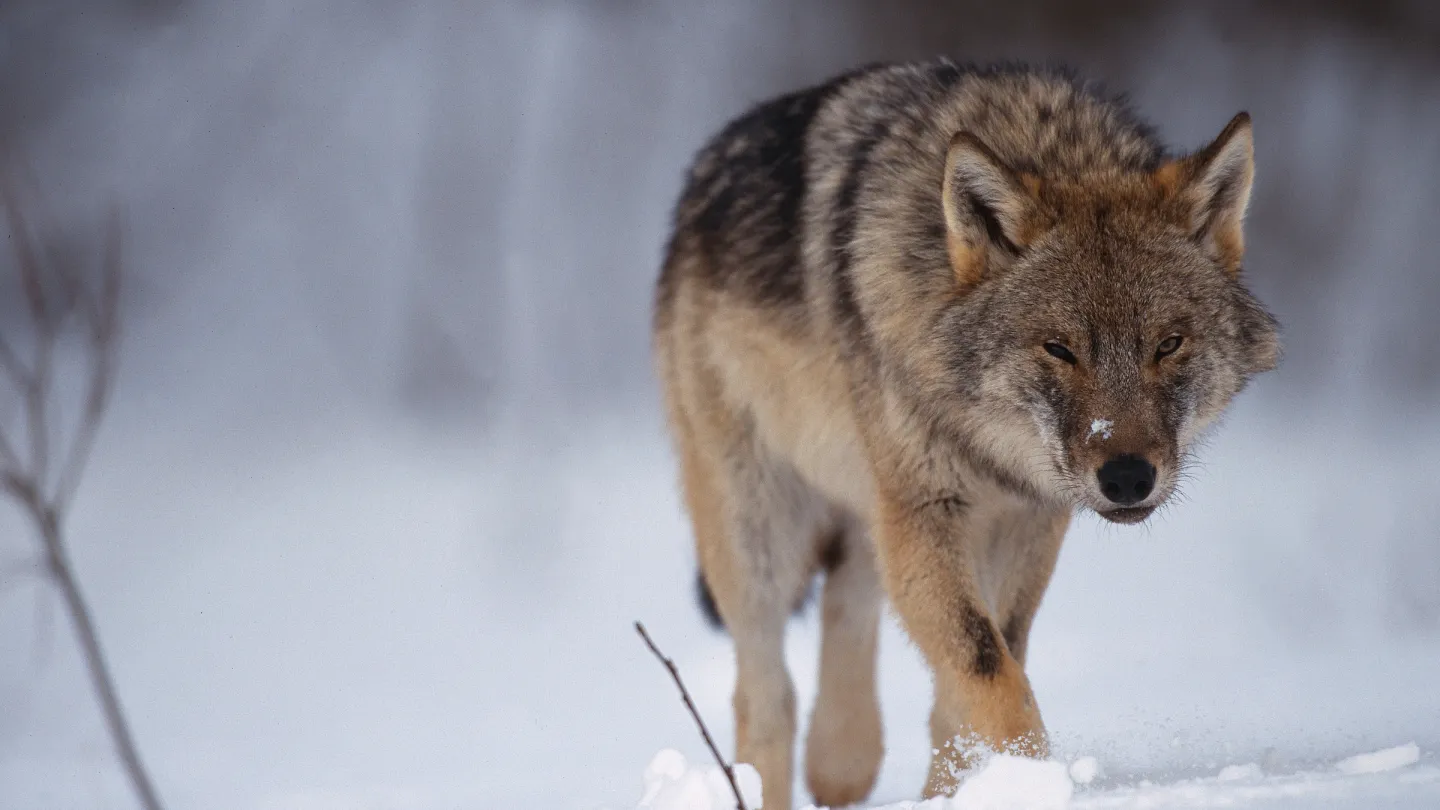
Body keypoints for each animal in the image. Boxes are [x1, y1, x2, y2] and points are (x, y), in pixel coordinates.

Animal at [652, 60, 1279, 809]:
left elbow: (982, 675)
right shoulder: (927, 511)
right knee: (764, 694)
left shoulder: (1026, 520)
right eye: (1059, 349)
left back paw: (843, 761)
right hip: (761, 530)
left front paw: (965, 789)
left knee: (850, 612)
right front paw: (1029, 784)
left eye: (1168, 345)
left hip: (868, 513)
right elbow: (989, 672)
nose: (1128, 477)